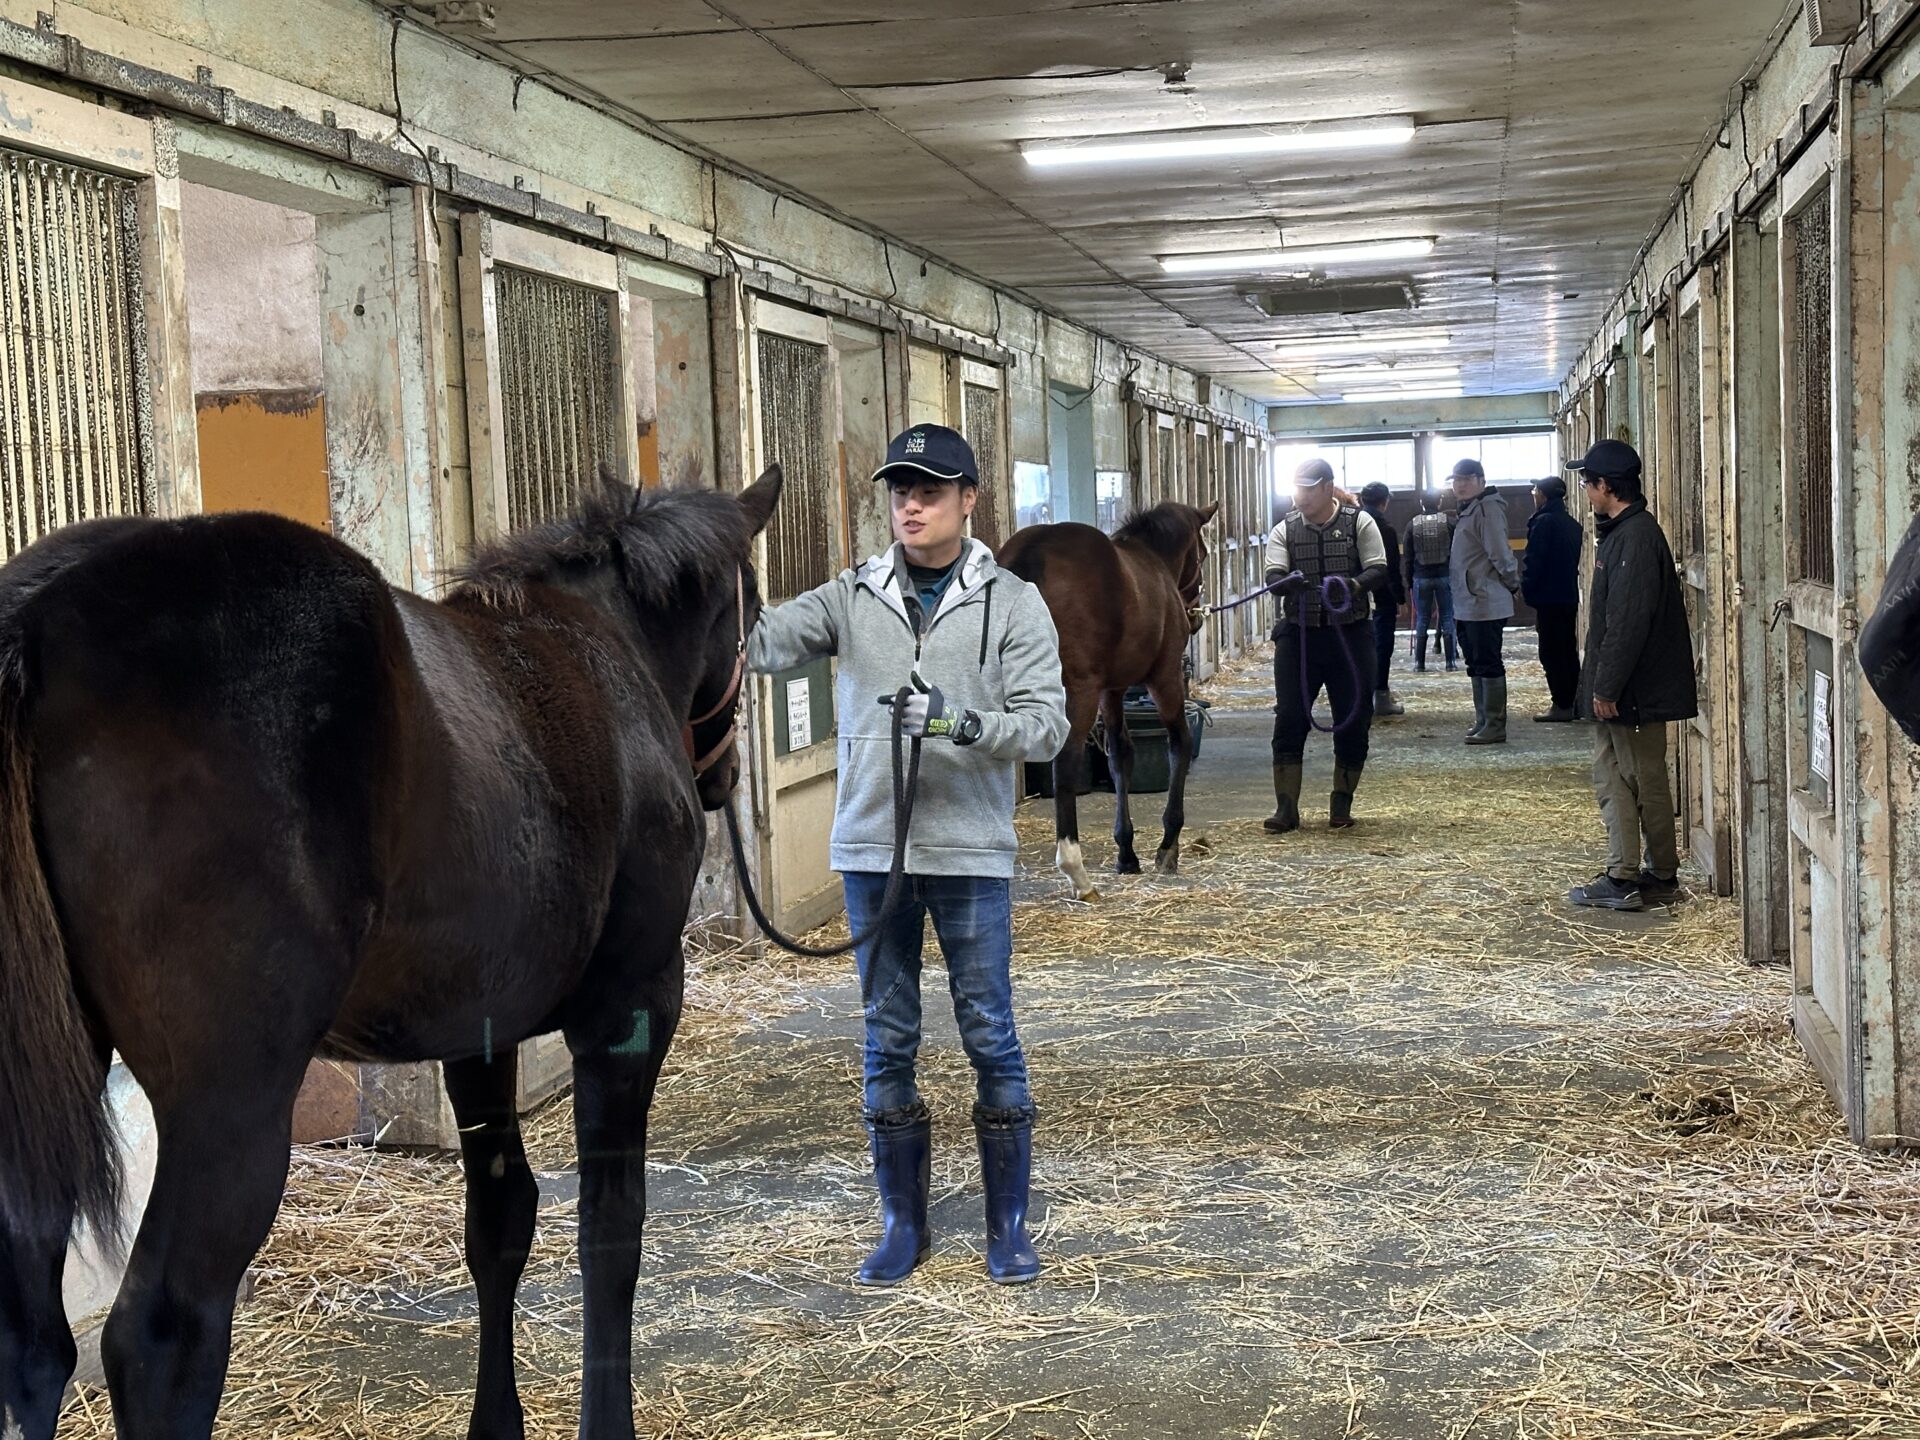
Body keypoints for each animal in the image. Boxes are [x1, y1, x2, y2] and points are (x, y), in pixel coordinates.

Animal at [0, 468, 783, 1436]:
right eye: (750, 610)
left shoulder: (480, 1034)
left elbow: (503, 1220)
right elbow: (612, 1229)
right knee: (158, 1342)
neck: (598, 649)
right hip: (229, 1104)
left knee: (34, 1345)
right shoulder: (631, 1008)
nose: (722, 777)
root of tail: (40, 616)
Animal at [998, 503, 1205, 898]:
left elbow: (1120, 757)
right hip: (1078, 692)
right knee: (1064, 762)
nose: (1196, 616)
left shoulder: (1113, 690)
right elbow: (1179, 745)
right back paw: (1076, 871)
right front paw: (1168, 845)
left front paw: (1126, 853)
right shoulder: (1165, 677)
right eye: (1202, 554)